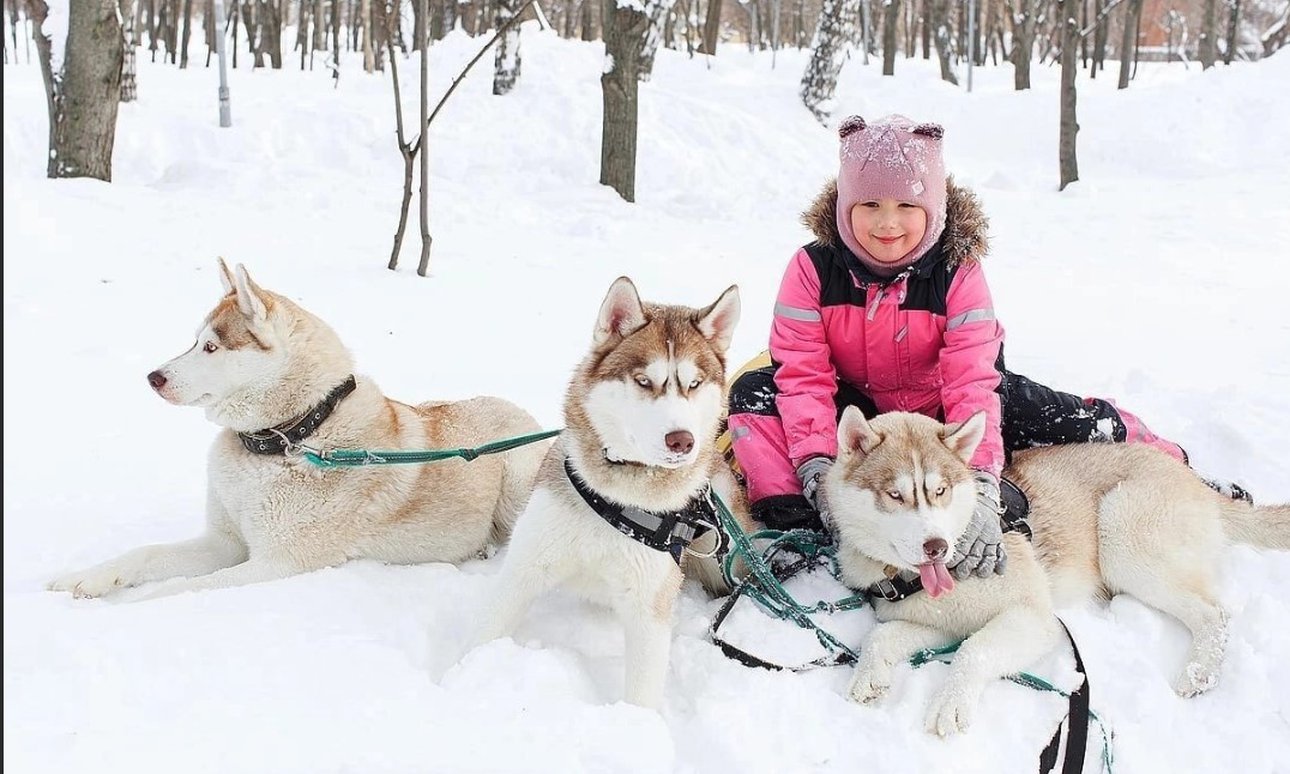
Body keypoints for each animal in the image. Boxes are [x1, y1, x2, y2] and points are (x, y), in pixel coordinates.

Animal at [47, 263, 544, 601]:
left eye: (212, 347)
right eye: (194, 341)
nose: (153, 377)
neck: (292, 436)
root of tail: (526, 416)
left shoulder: (277, 562)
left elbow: (181, 589)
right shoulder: (224, 542)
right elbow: (145, 554)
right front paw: (87, 577)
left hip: (518, 482)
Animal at [469, 279, 753, 712]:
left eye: (694, 384)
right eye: (644, 381)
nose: (682, 441)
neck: (619, 498)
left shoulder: (649, 608)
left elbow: (641, 695)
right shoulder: (524, 570)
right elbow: (484, 633)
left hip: (723, 555)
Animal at [825, 407, 1290, 732]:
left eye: (940, 491)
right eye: (894, 494)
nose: (937, 546)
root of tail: (1198, 485)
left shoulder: (1033, 617)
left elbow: (976, 649)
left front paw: (950, 703)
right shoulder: (939, 623)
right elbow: (882, 636)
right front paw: (868, 674)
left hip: (1122, 534)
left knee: (1215, 614)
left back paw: (1199, 673)